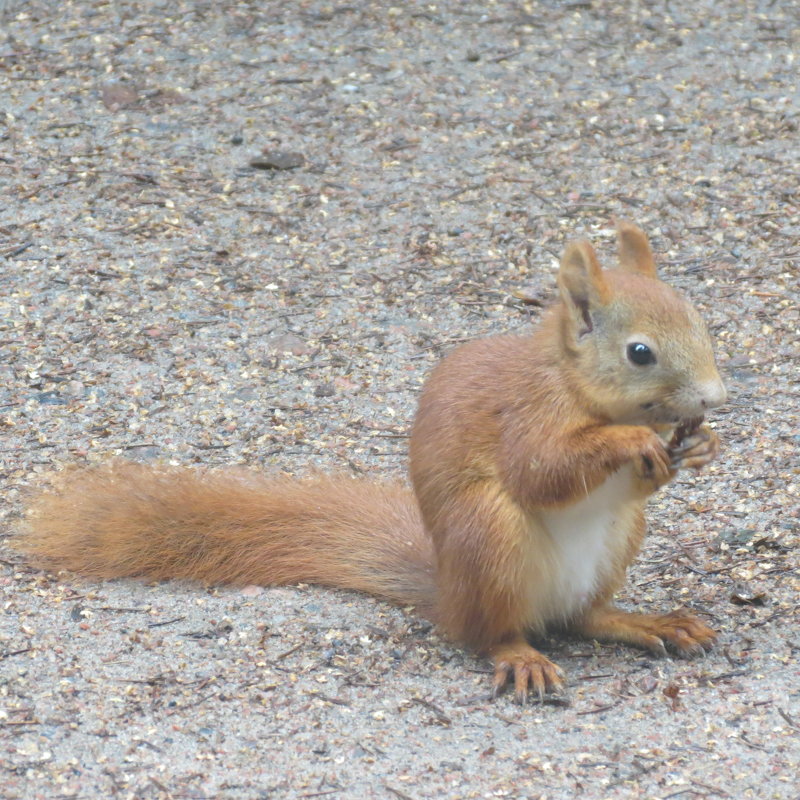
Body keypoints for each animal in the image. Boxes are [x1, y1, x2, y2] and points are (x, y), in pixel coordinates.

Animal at [21, 222, 728, 704]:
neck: (580, 390)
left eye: (701, 320)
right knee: (493, 632)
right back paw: (519, 653)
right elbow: (540, 472)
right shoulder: (527, 417)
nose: (717, 397)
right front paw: (631, 443)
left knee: (583, 617)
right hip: (490, 536)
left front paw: (700, 446)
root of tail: (448, 594)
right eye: (640, 352)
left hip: (614, 545)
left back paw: (644, 621)